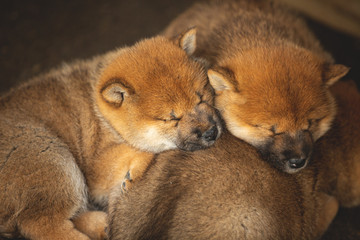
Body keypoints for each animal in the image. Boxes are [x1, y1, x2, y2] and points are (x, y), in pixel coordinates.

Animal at [0, 29, 222, 240]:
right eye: (171, 118)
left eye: (201, 98)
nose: (211, 132)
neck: (102, 115)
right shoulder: (95, 170)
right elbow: (140, 147)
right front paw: (134, 170)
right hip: (53, 157)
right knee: (42, 225)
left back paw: (102, 225)